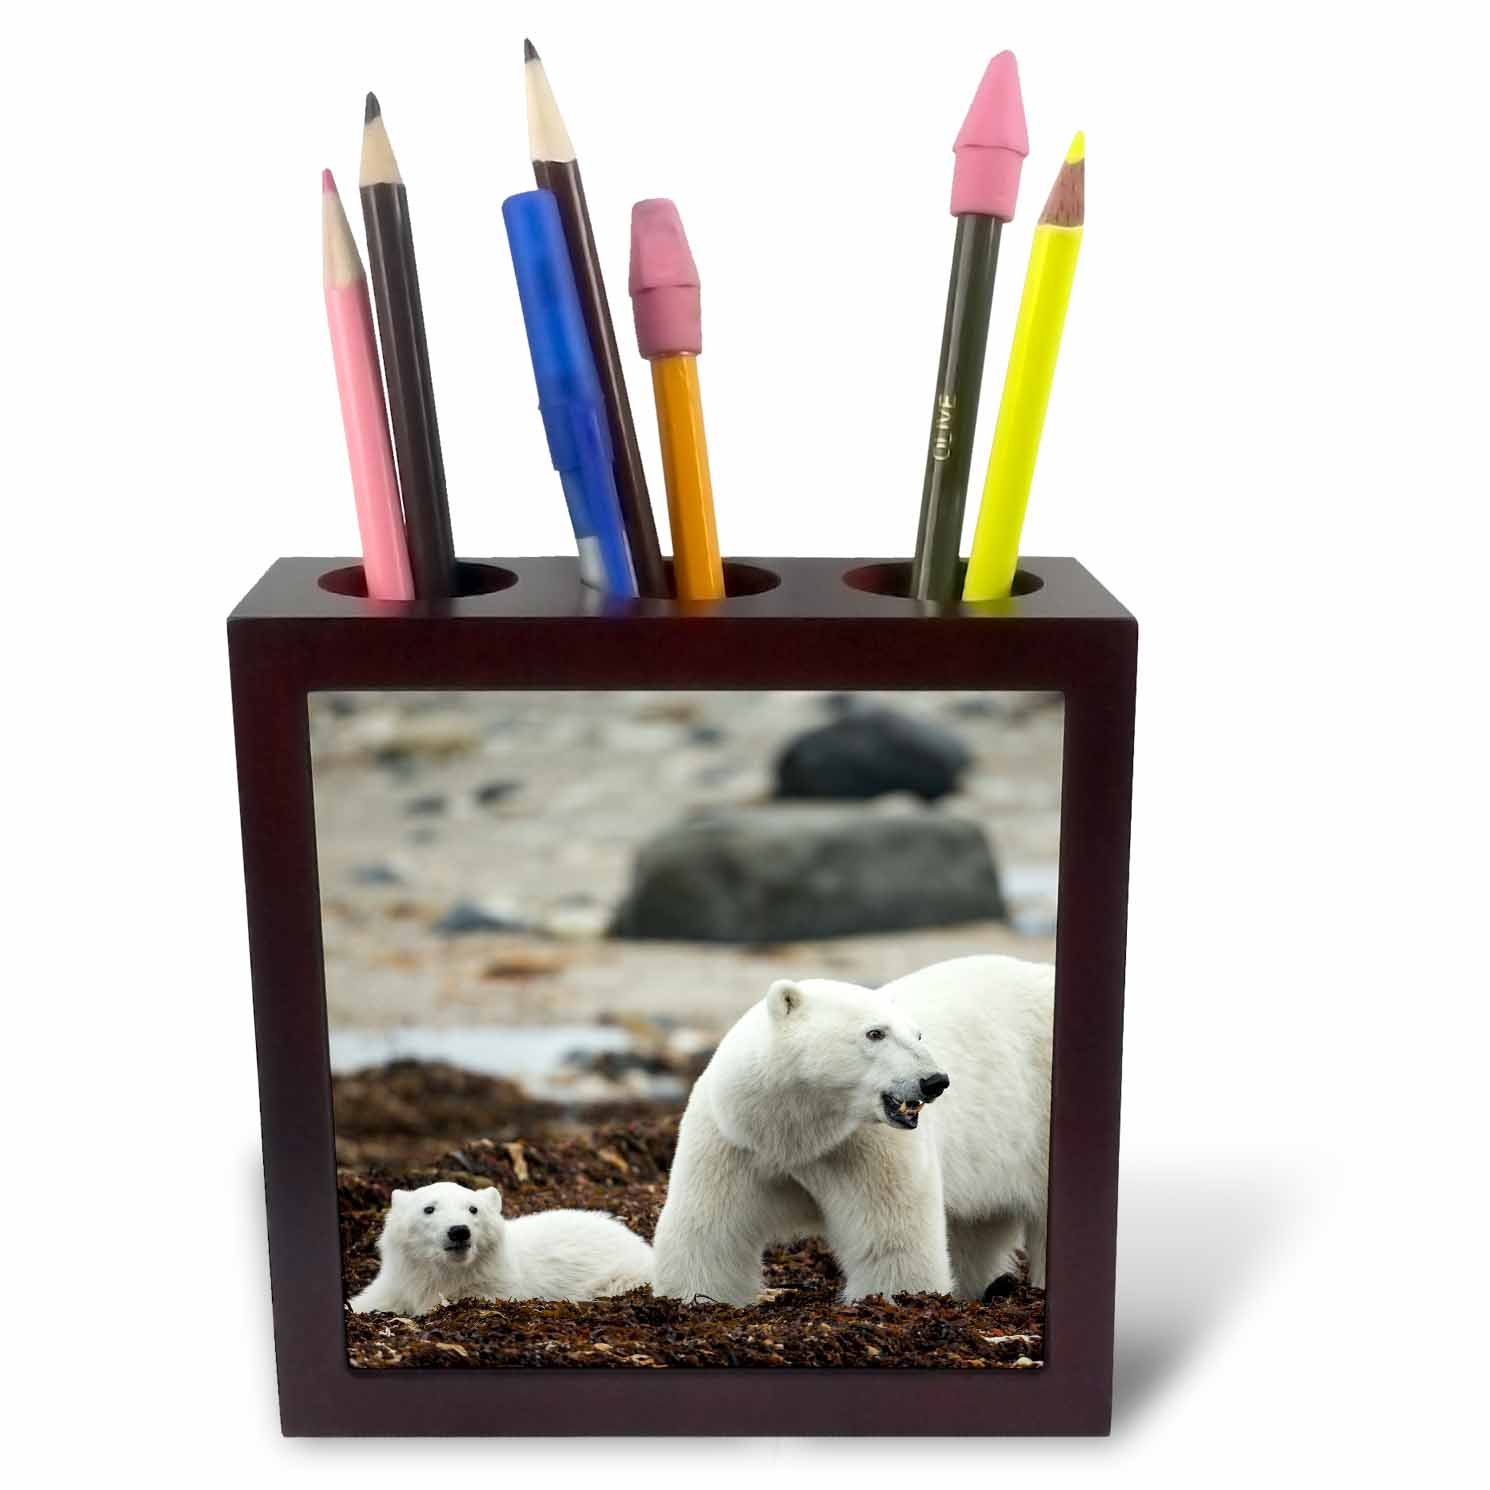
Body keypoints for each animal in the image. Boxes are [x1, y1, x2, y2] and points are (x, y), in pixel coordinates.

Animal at [349, 1181, 654, 1316]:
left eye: (473, 1208)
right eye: (429, 1208)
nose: (459, 1231)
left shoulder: (496, 1287)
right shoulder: (398, 1282)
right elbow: (369, 1301)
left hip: (619, 1275)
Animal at [651, 954, 1052, 1305]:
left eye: (918, 1035)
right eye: (875, 1033)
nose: (934, 1080)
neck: (792, 1135)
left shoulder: (863, 1148)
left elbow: (892, 1236)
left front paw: (900, 1298)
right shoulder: (733, 1142)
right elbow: (708, 1231)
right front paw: (696, 1300)